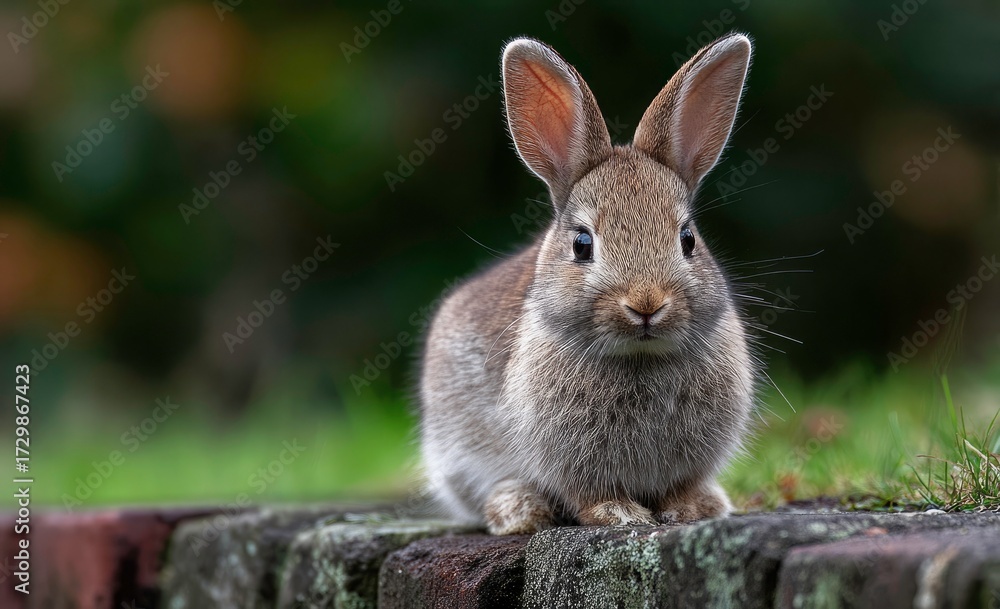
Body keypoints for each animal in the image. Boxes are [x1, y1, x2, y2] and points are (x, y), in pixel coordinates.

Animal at [419, 33, 756, 535]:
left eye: (688, 239)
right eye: (582, 244)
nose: (646, 303)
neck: (639, 358)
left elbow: (681, 487)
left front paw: (692, 508)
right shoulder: (567, 459)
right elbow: (589, 494)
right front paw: (620, 514)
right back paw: (519, 510)